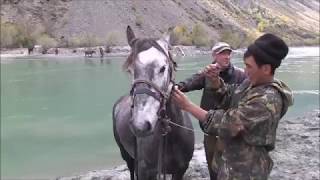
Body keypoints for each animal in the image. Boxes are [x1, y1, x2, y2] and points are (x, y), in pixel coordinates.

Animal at [112, 25, 195, 180]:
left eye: (163, 68)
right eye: (130, 70)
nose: (140, 125)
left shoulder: (180, 170)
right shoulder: (145, 171)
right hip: (127, 156)